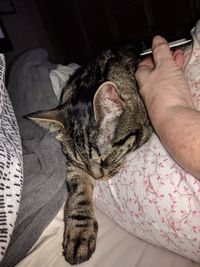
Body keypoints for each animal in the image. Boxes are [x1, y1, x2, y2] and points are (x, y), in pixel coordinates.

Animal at [28, 43, 152, 264]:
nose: (97, 176)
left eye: (106, 157)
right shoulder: (72, 164)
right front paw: (79, 233)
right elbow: (78, 194)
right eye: (82, 163)